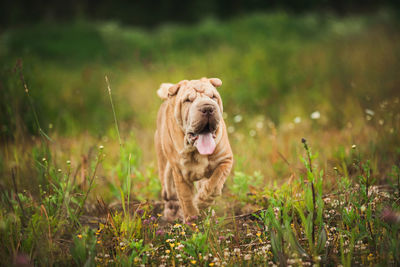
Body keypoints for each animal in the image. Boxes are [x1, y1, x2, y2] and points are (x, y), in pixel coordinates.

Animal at [155, 78, 233, 223]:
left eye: (213, 96)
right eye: (188, 100)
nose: (207, 108)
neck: (196, 150)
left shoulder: (225, 160)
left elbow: (214, 184)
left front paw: (202, 203)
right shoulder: (180, 173)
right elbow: (186, 198)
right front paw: (192, 219)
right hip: (164, 167)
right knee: (168, 192)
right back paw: (171, 213)